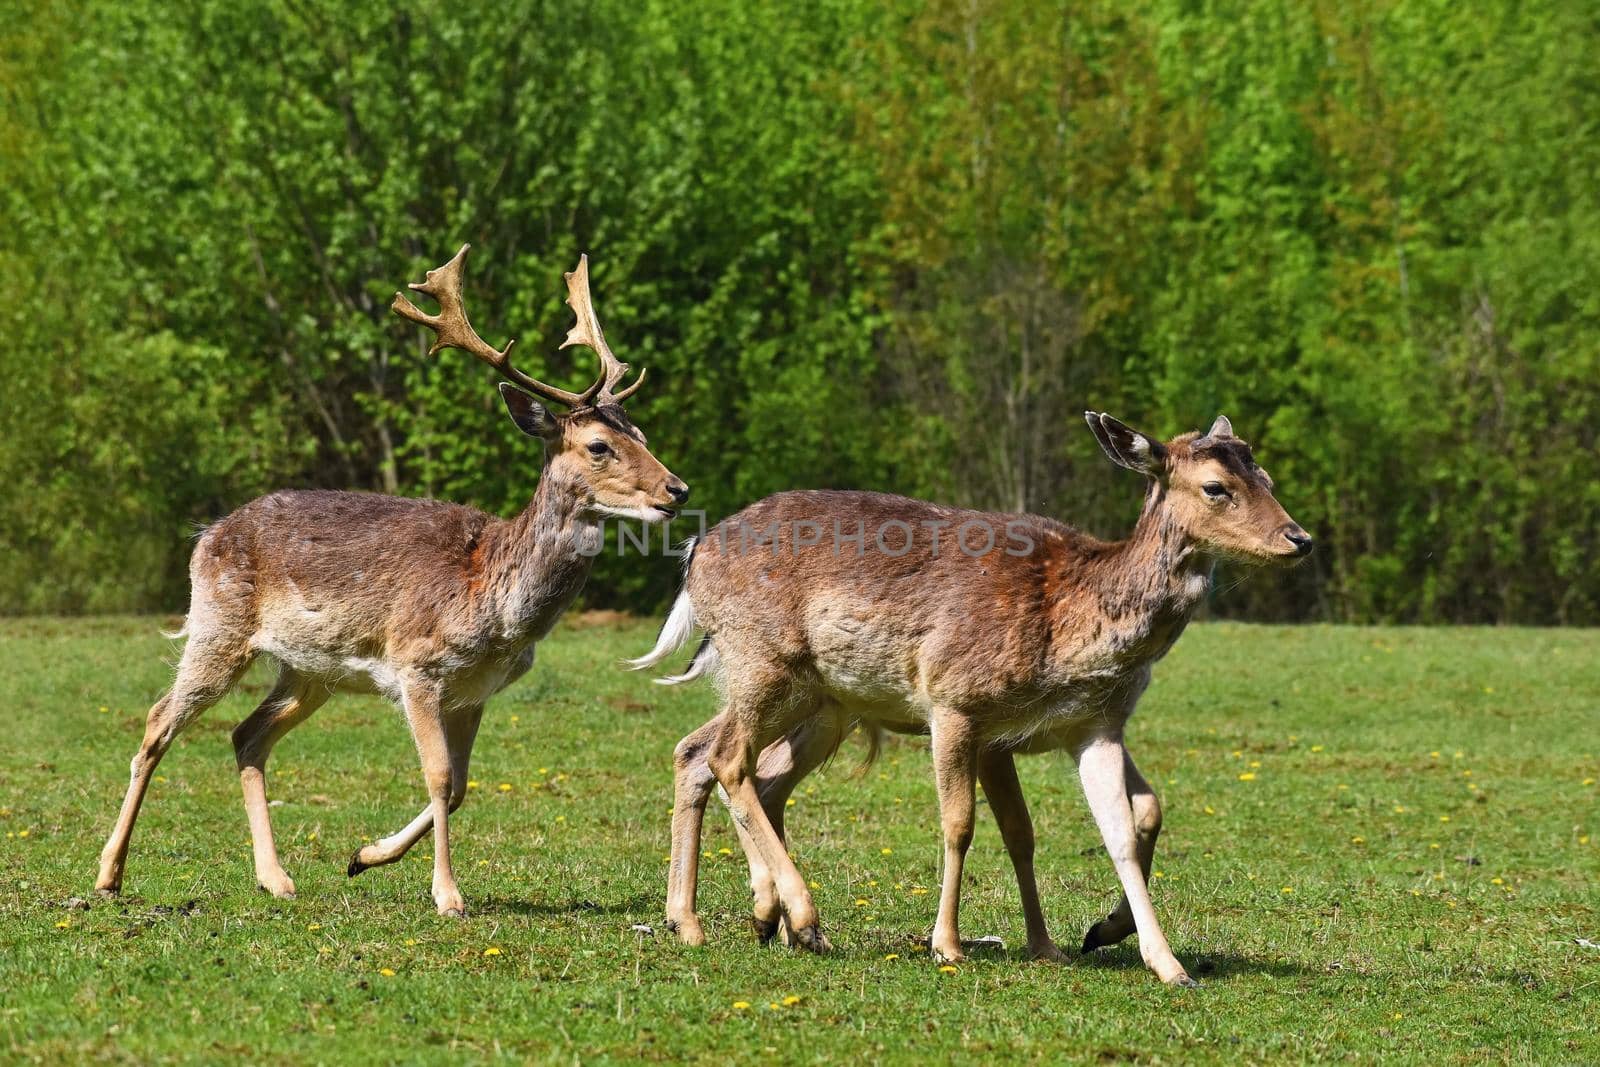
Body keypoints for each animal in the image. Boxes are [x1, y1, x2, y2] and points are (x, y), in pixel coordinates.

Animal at [93, 246, 681, 915]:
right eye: (599, 445)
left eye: (644, 436)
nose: (677, 490)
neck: (494, 605)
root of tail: (206, 535)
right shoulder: (415, 664)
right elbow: (440, 777)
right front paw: (447, 894)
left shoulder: (476, 690)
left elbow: (461, 785)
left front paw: (365, 856)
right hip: (218, 628)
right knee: (157, 721)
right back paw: (109, 873)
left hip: (309, 670)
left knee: (247, 736)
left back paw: (275, 877)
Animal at [630, 409, 1305, 985]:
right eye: (1217, 487)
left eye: (1267, 477)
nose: (1299, 538)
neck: (1073, 625)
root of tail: (693, 556)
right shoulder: (955, 700)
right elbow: (960, 823)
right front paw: (948, 944)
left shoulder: (1089, 726)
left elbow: (1118, 822)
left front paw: (1117, 948)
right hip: (761, 660)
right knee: (728, 759)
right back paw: (795, 914)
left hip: (822, 702)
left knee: (723, 761)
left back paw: (730, 918)